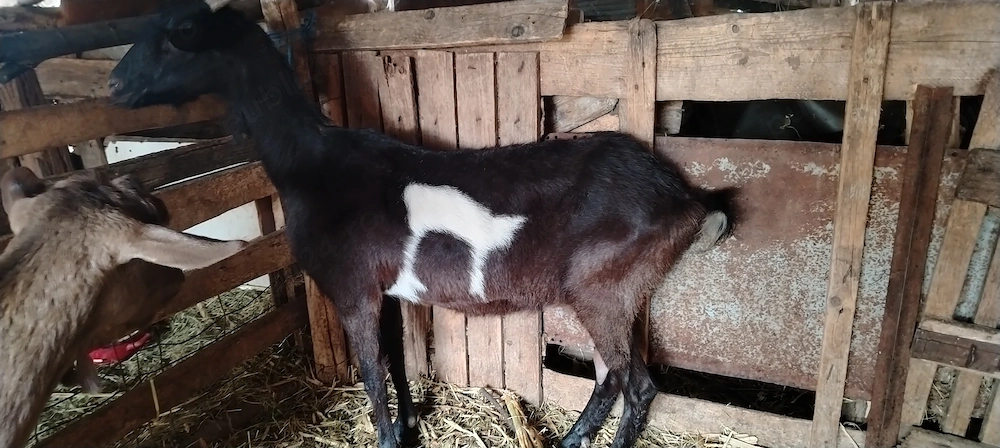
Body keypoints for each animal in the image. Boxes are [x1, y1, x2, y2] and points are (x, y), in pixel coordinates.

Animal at [106, 3, 740, 447]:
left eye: (179, 32)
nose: (113, 85)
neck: (314, 164)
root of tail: (685, 198)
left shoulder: (352, 290)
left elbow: (370, 370)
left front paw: (388, 437)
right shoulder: (384, 289)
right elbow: (395, 359)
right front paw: (410, 426)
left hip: (604, 288)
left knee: (638, 386)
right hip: (614, 295)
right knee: (612, 378)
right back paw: (570, 438)